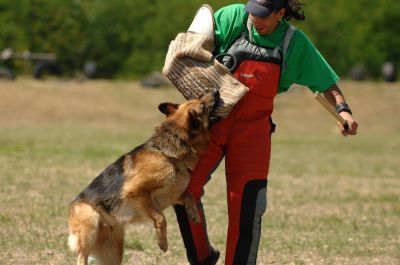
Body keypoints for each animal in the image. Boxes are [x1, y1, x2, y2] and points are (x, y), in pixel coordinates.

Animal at [67, 93, 217, 264]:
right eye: (203, 105)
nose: (216, 92)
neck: (169, 154)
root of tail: (73, 204)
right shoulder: (137, 192)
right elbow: (161, 218)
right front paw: (162, 242)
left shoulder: (174, 194)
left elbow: (189, 196)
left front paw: (193, 214)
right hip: (90, 225)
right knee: (82, 256)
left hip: (114, 252)